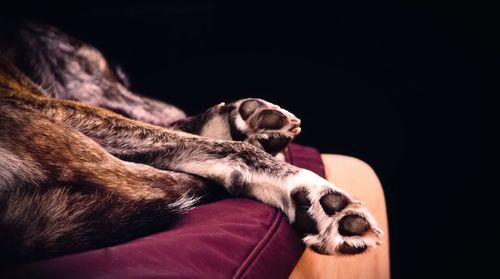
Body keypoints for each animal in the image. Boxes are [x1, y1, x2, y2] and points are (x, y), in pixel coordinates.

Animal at [0, 21, 382, 264]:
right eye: (106, 72)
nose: (176, 110)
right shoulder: (42, 105)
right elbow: (231, 152)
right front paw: (315, 194)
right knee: (159, 182)